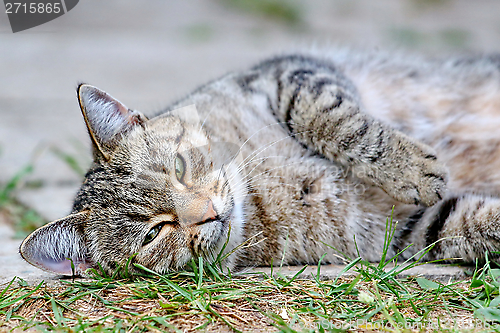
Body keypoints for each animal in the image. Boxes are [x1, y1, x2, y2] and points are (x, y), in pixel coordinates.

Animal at [19, 46, 500, 274]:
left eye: (179, 169)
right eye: (155, 233)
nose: (209, 213)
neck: (262, 194)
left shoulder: (290, 75)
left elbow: (336, 122)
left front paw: (412, 169)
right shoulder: (400, 232)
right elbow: (473, 221)